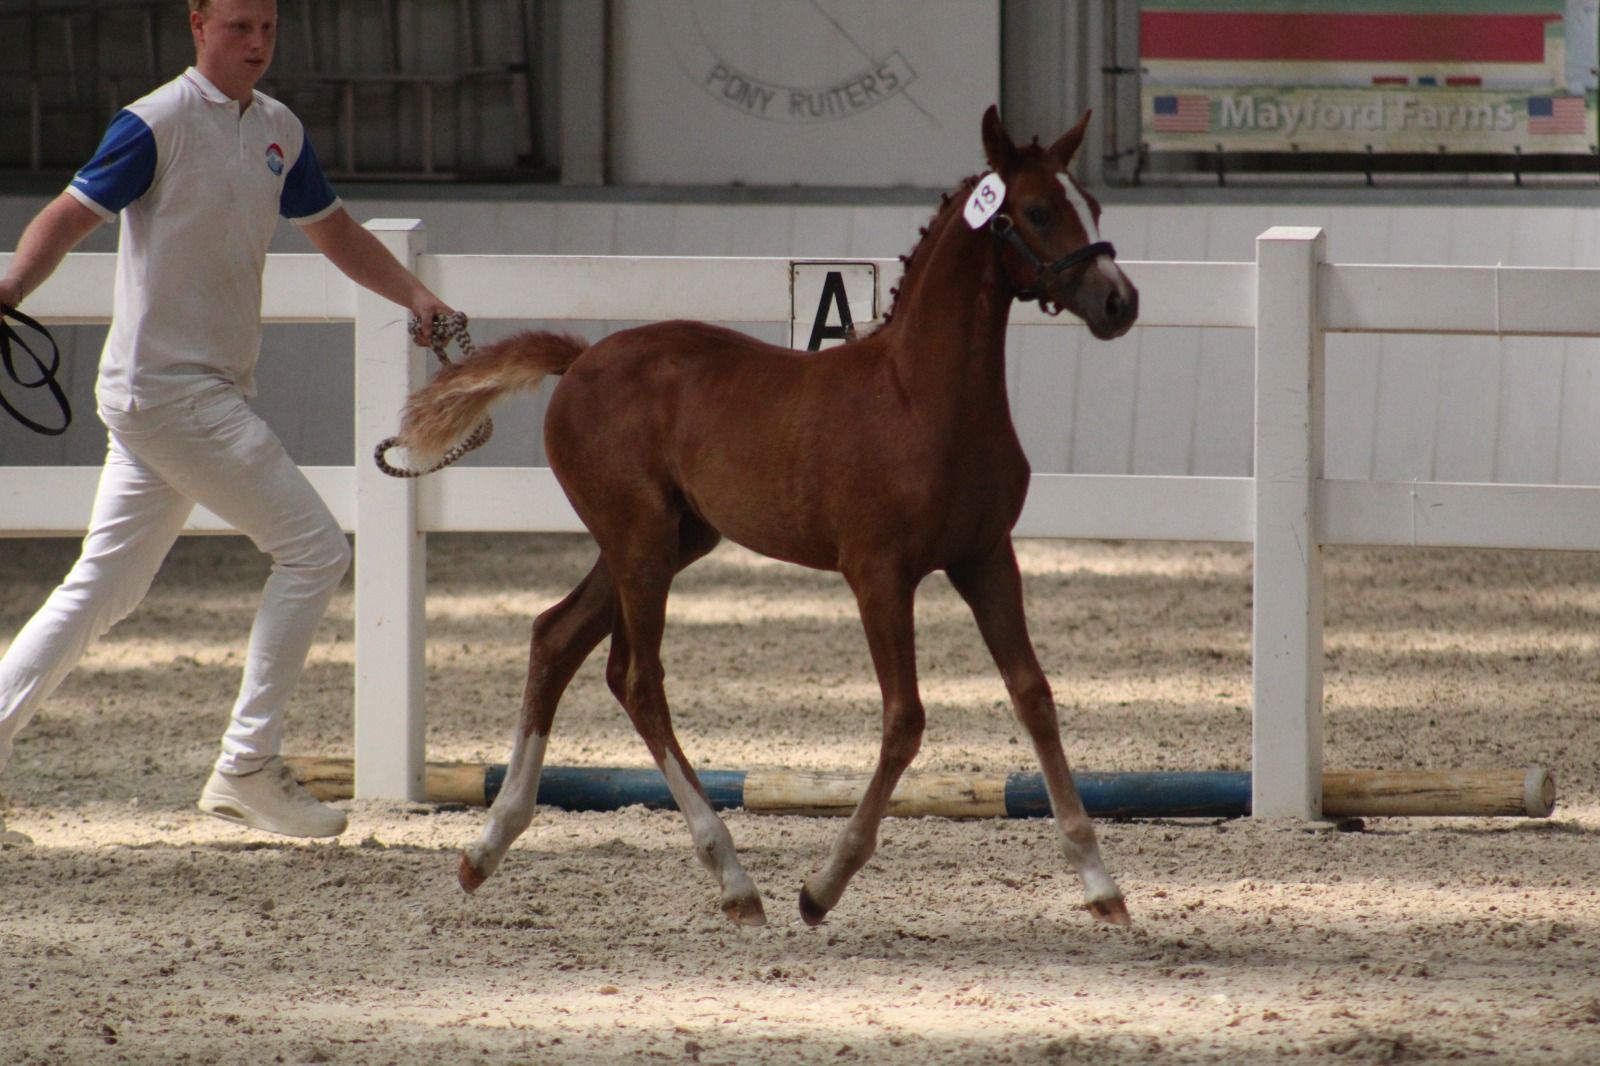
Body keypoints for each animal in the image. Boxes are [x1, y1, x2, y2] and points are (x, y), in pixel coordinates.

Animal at [391, 105, 1139, 928]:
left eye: (1092, 207)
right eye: (1035, 210)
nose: (1119, 303)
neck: (922, 399)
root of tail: (581, 358)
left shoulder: (986, 557)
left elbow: (1033, 696)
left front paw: (1101, 884)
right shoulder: (879, 575)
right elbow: (904, 719)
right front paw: (823, 887)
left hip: (666, 539)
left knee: (556, 638)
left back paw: (487, 847)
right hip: (639, 541)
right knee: (637, 679)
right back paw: (733, 878)